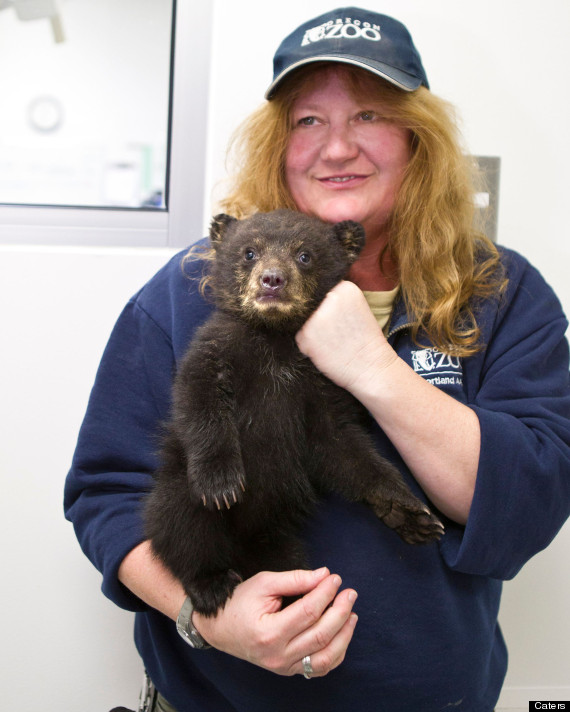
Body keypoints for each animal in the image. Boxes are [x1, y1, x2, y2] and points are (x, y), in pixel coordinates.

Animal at [144, 209, 444, 617]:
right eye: (249, 251)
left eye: (305, 255)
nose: (273, 280)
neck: (276, 340)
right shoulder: (216, 349)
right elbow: (198, 400)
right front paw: (220, 482)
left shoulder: (321, 390)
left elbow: (345, 450)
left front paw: (410, 513)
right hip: (177, 487)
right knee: (179, 524)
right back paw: (210, 582)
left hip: (278, 540)